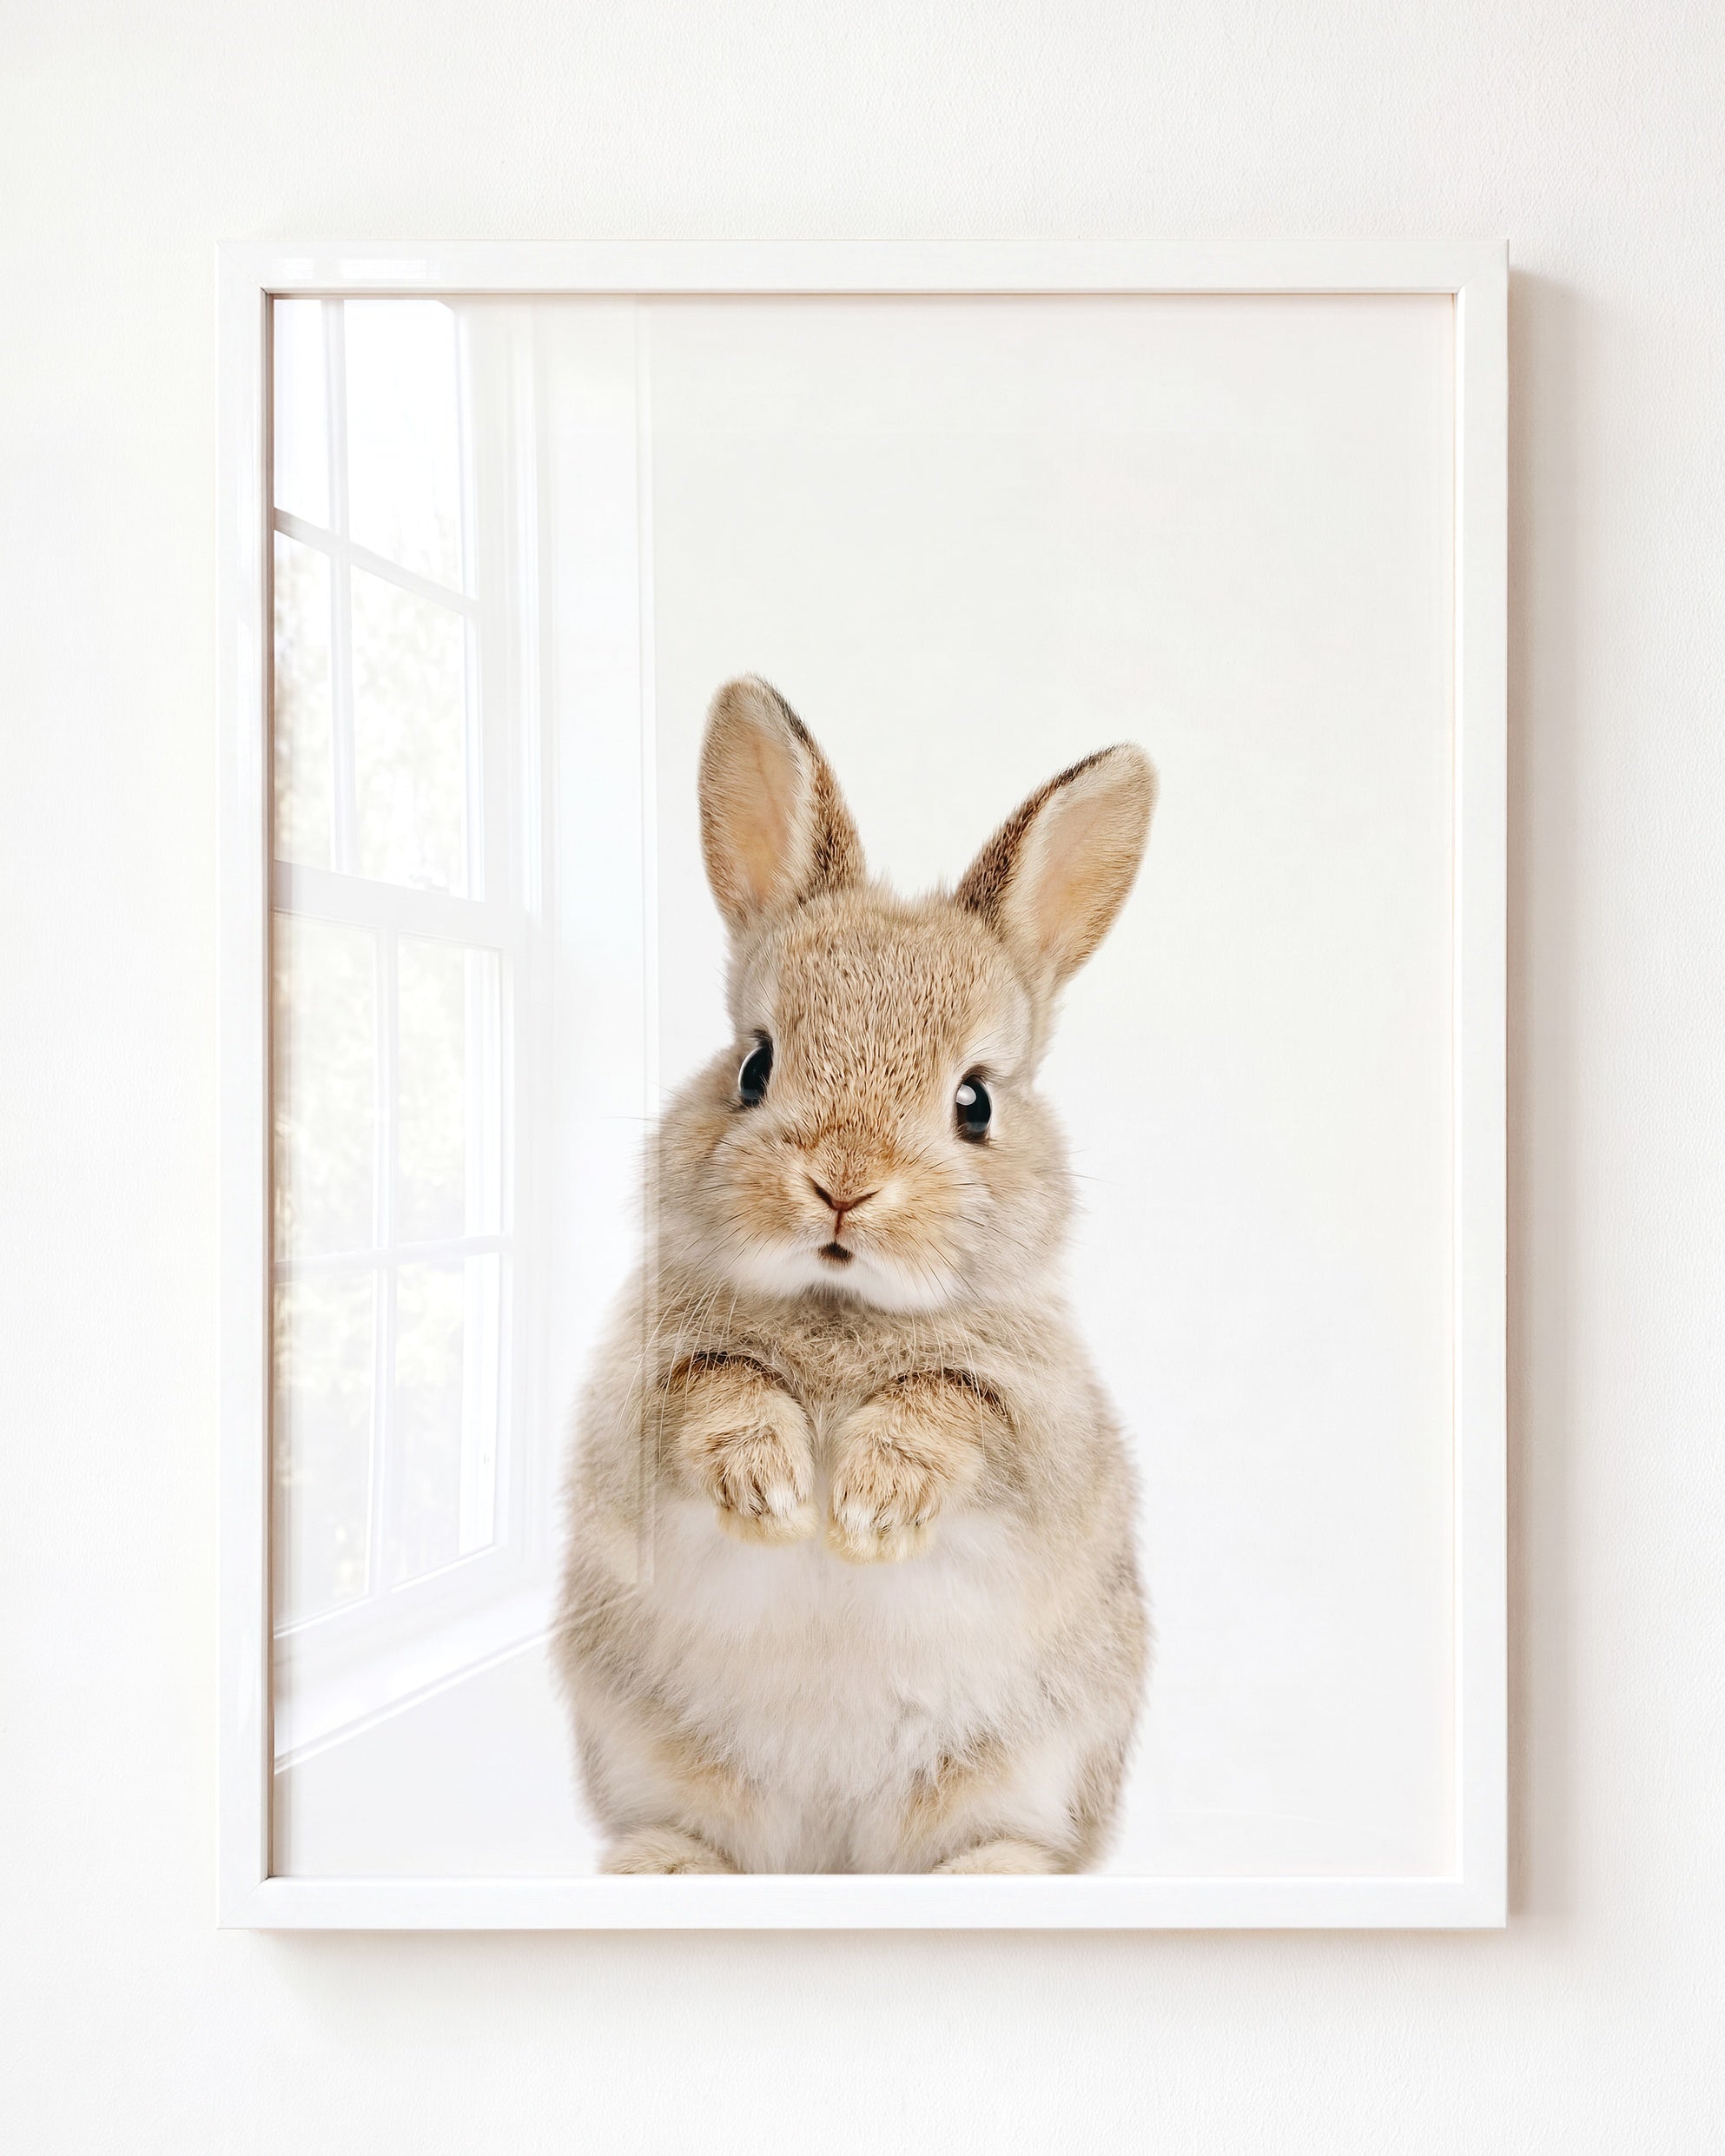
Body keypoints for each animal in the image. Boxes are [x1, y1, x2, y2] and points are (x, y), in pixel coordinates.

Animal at [553, 676, 1155, 1875]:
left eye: (975, 1100)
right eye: (754, 1064)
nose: (843, 1185)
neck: (842, 1307)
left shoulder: (1041, 1429)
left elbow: (950, 1408)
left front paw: (869, 1507)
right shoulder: (638, 1396)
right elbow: (717, 1387)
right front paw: (777, 1493)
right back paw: (664, 1868)